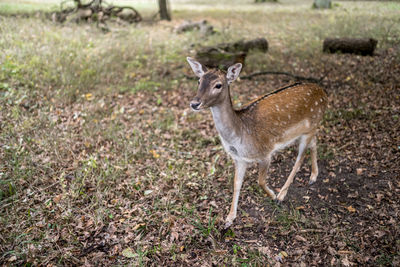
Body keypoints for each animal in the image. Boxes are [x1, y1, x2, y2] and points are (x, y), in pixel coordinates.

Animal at [188, 56, 328, 228]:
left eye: (218, 85)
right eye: (199, 81)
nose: (194, 103)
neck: (240, 137)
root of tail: (324, 92)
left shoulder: (266, 152)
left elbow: (260, 181)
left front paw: (273, 195)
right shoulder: (239, 159)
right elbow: (236, 183)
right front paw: (229, 218)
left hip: (309, 127)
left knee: (300, 159)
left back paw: (282, 194)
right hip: (310, 129)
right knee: (314, 142)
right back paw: (313, 176)